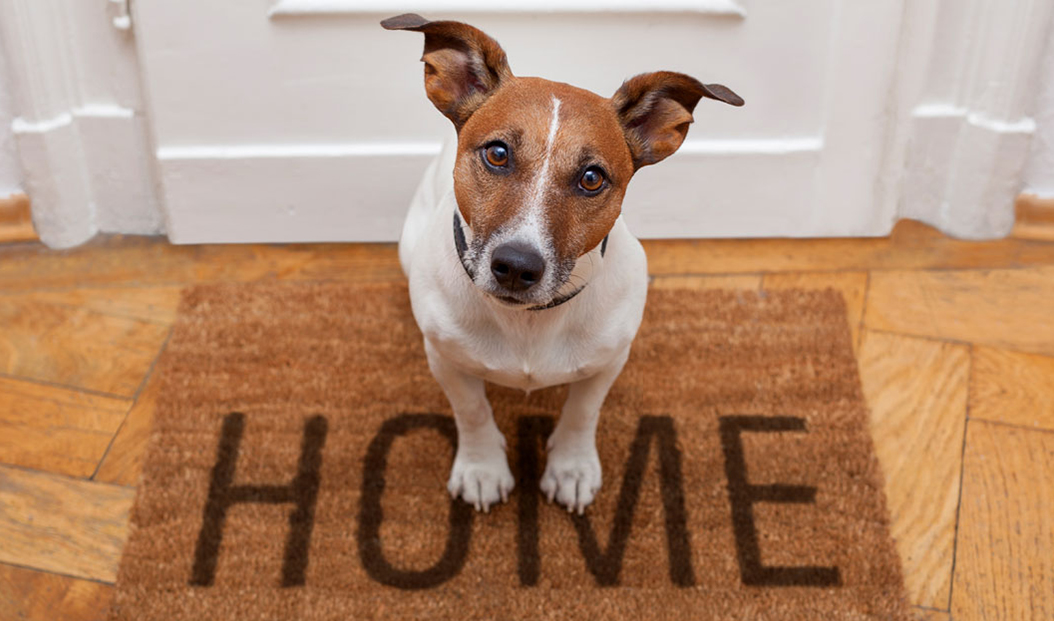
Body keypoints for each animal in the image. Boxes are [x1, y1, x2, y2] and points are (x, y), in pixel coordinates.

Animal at [385, 13, 742, 512]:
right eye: (497, 153)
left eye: (592, 178)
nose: (517, 266)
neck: (529, 322)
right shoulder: (445, 359)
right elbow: (472, 411)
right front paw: (481, 467)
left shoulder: (609, 361)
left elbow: (582, 412)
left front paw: (571, 467)